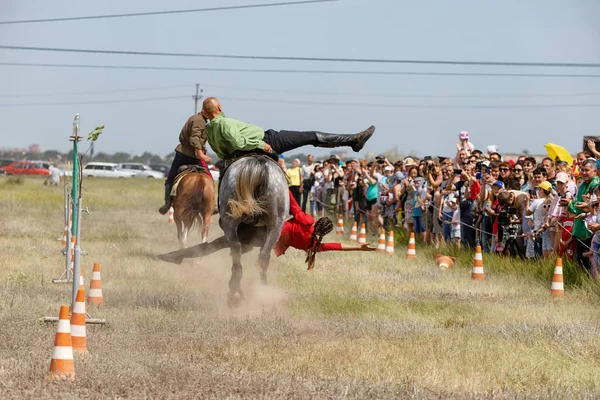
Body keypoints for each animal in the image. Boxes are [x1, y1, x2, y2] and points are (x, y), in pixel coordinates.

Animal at [219, 155, 290, 308]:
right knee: (261, 257)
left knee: (237, 253)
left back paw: (234, 292)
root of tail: (258, 164)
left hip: (230, 221)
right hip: (276, 225)